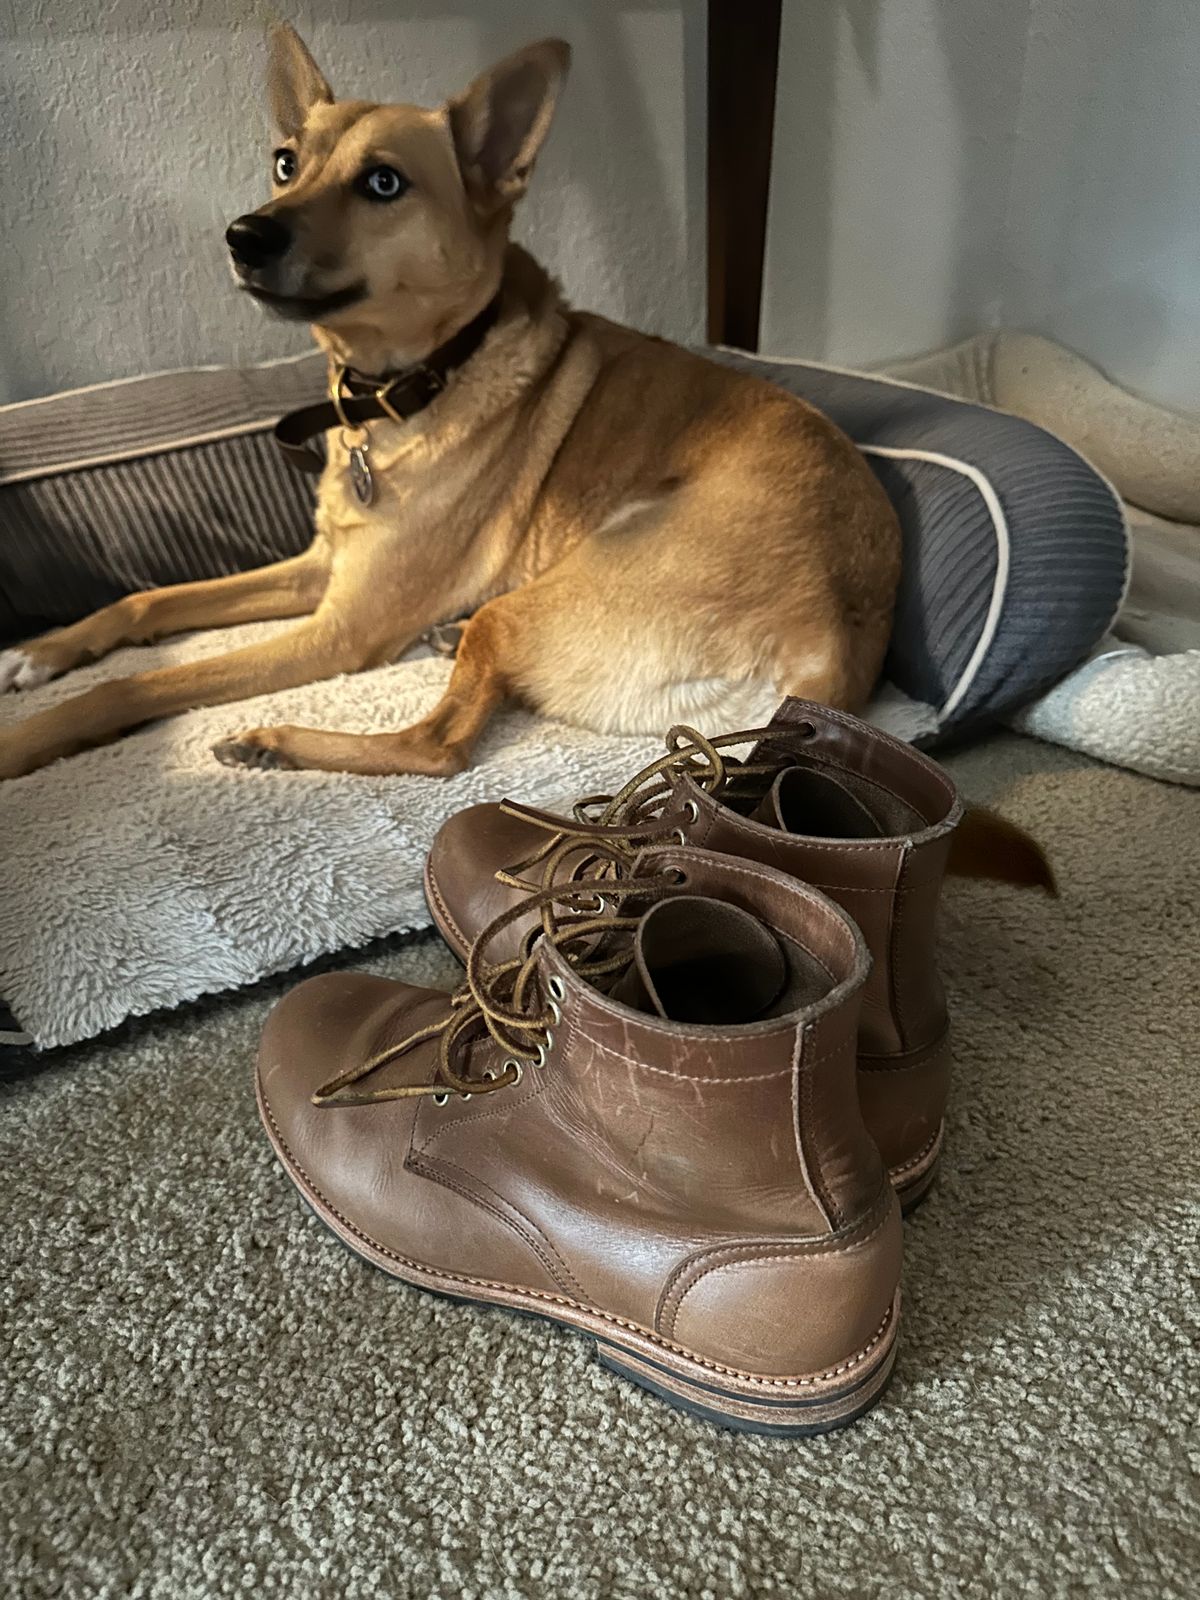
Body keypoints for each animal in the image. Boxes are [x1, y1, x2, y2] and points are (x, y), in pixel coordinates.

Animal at [0, 21, 902, 777]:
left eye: (383, 183)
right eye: (285, 162)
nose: (243, 235)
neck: (407, 387)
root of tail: (834, 649)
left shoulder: (339, 629)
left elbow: (133, 687)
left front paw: (27, 739)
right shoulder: (322, 568)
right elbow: (148, 597)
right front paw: (43, 650)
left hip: (532, 603)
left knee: (439, 747)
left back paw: (277, 742)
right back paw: (439, 640)